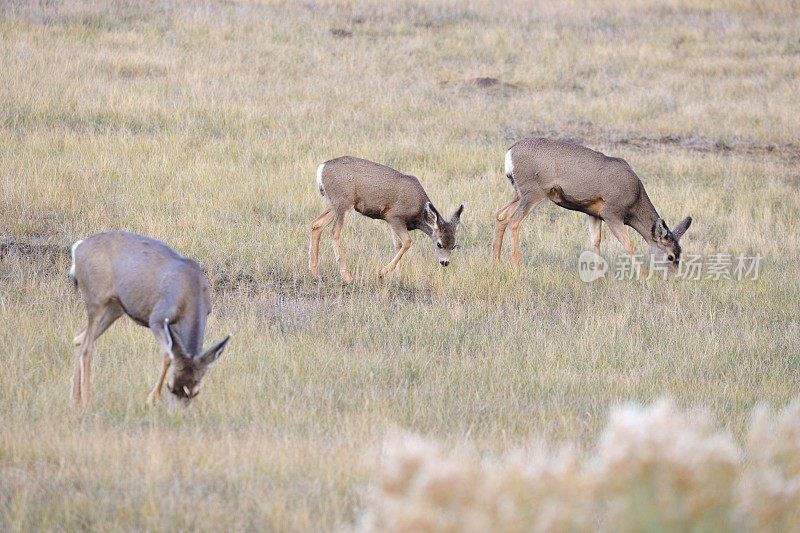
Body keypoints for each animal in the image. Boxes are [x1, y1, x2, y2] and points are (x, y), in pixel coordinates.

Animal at [67, 230, 230, 408]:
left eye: (196, 392)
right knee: (87, 347)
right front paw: (151, 399)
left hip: (115, 308)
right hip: (96, 300)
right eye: (170, 387)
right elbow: (168, 356)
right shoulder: (157, 319)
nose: (178, 412)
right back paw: (87, 401)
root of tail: (79, 248)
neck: (191, 292)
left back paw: (74, 399)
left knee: (79, 338)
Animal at [310, 155, 466, 280]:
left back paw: (315, 272)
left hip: (334, 204)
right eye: (439, 244)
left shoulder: (394, 223)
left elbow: (398, 245)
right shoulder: (394, 216)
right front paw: (382, 272)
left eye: (454, 245)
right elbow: (407, 242)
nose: (445, 263)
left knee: (316, 224)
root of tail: (321, 168)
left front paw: (397, 276)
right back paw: (347, 276)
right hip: (344, 202)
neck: (418, 212)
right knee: (334, 232)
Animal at [490, 137, 692, 270]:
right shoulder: (612, 212)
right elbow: (628, 244)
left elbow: (596, 241)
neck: (634, 201)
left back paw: (496, 262)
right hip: (533, 192)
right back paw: (518, 265)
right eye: (671, 256)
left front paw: (599, 276)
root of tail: (509, 153)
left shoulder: (594, 213)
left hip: (519, 192)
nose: (671, 280)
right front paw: (641, 276)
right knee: (514, 221)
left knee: (501, 215)